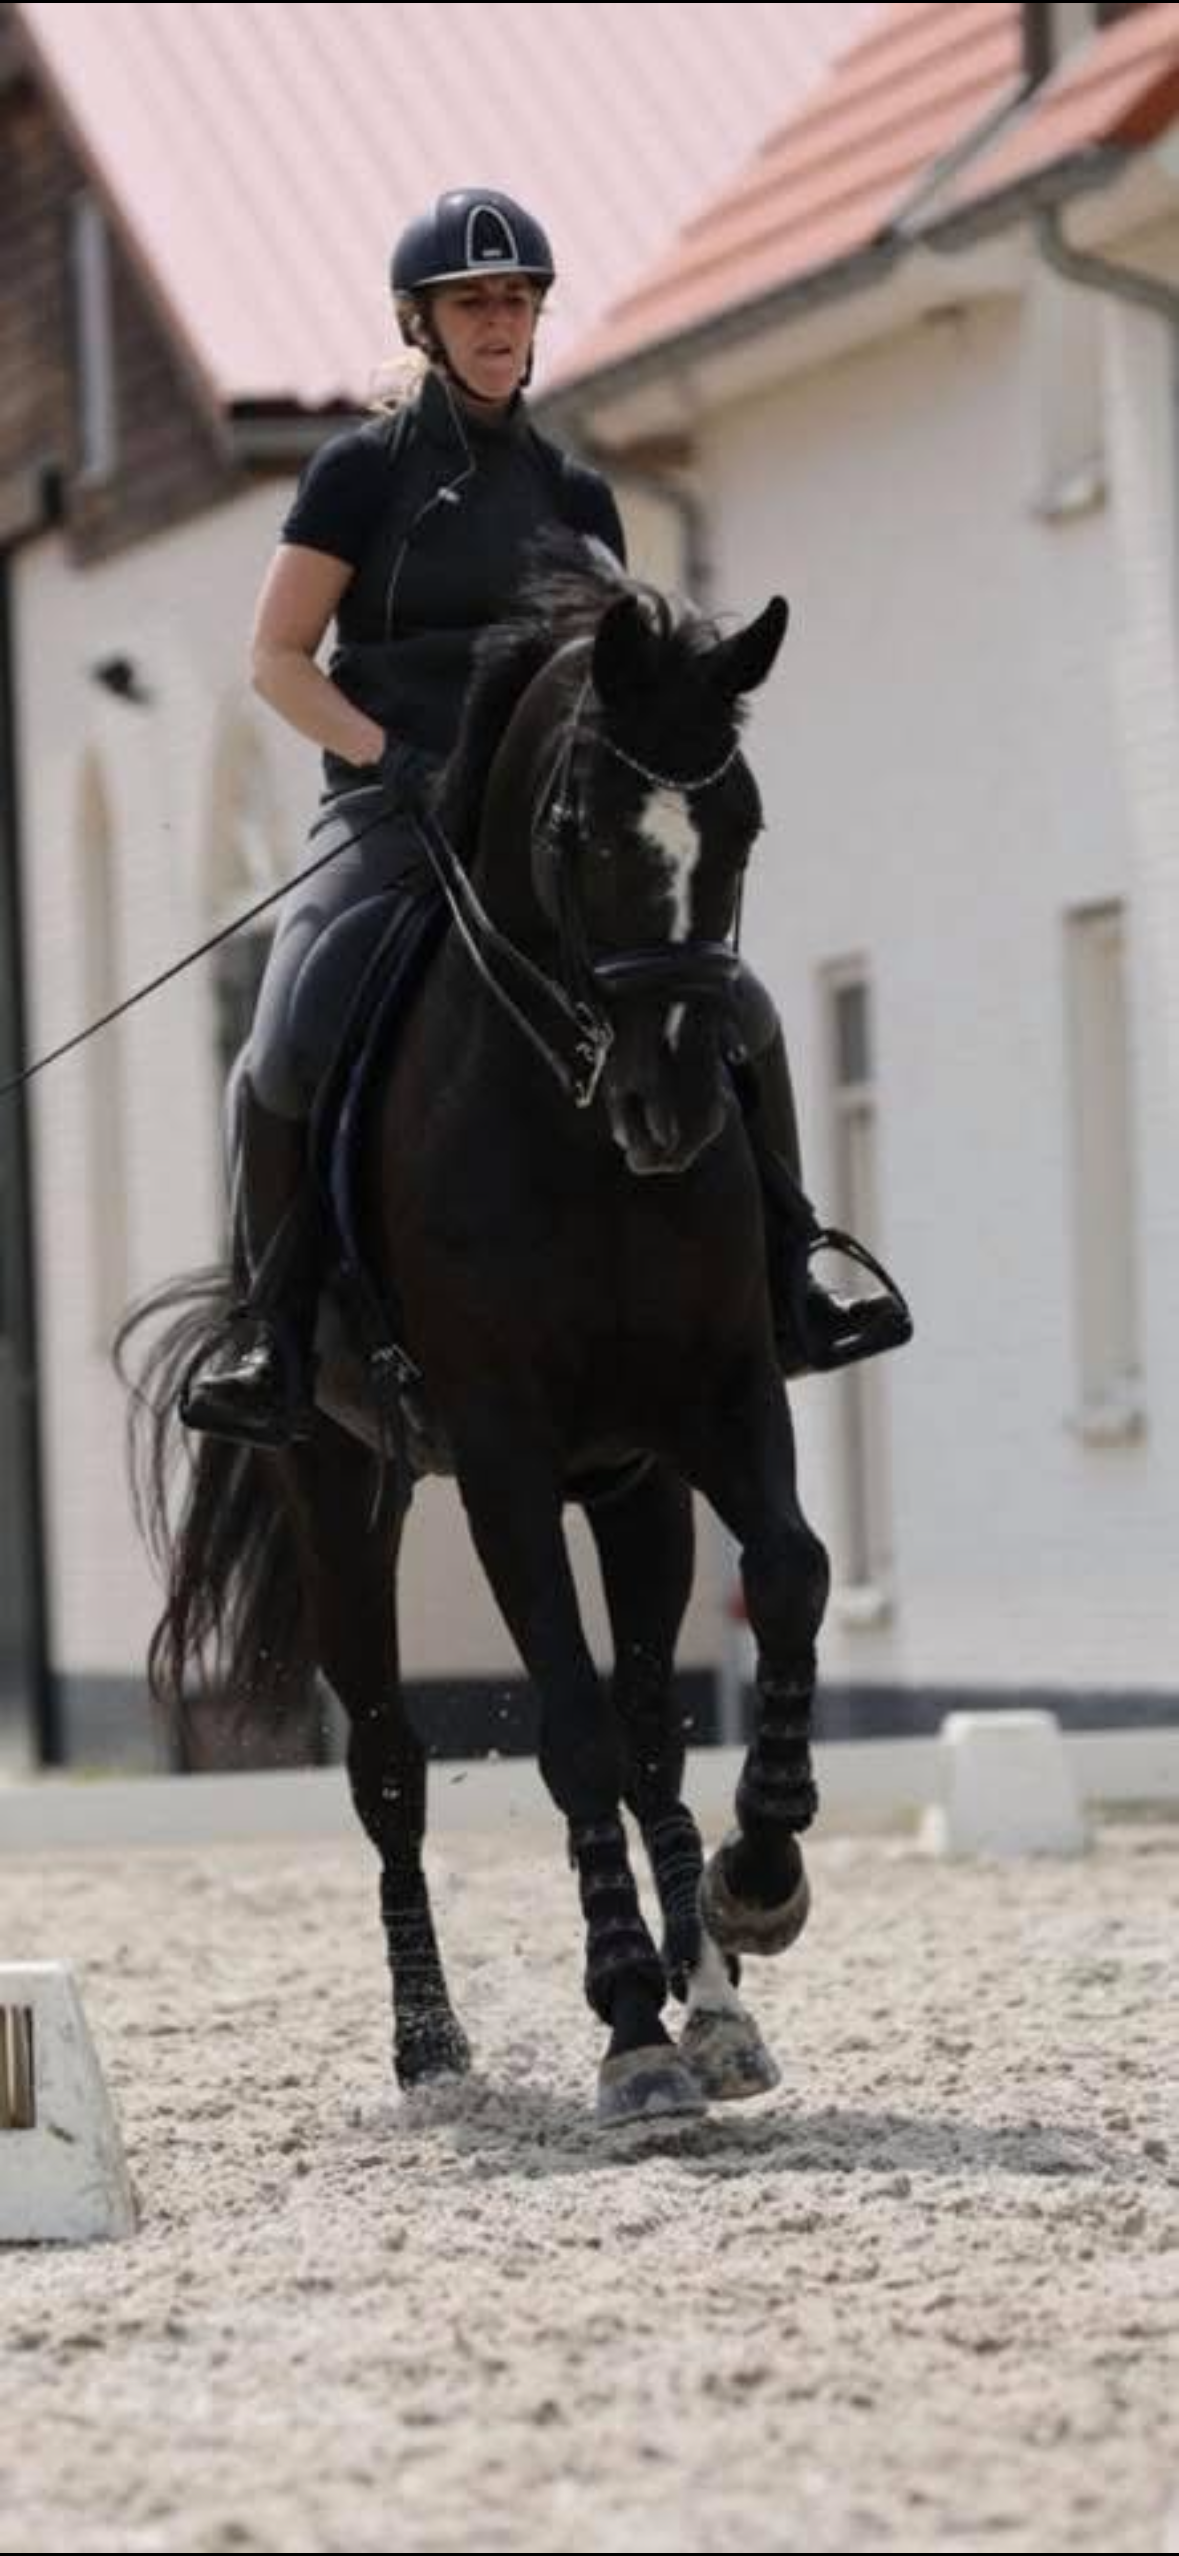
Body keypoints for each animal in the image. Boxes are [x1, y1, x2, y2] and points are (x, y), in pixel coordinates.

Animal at [120, 540, 830, 2128]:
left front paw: (755, 1890)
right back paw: (434, 2048)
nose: (671, 1111)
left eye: (746, 825)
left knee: (654, 1726)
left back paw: (716, 2004)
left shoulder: (716, 1401)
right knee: (391, 1761)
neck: (568, 1120)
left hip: (629, 1489)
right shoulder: (502, 1450)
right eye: (578, 827)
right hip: (338, 1484)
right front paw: (625, 2025)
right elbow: (561, 1721)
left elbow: (787, 1579)